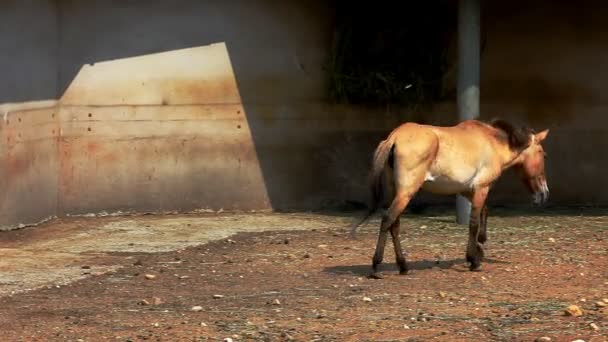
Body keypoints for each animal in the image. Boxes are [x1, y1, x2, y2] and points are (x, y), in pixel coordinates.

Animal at [350, 117, 548, 278]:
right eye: (542, 153)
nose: (544, 194)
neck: (492, 143)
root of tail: (395, 137)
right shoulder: (481, 188)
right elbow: (474, 222)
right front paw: (474, 260)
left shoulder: (467, 190)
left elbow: (484, 211)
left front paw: (480, 245)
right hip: (406, 193)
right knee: (387, 220)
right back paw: (376, 267)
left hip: (397, 194)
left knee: (394, 225)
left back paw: (403, 266)